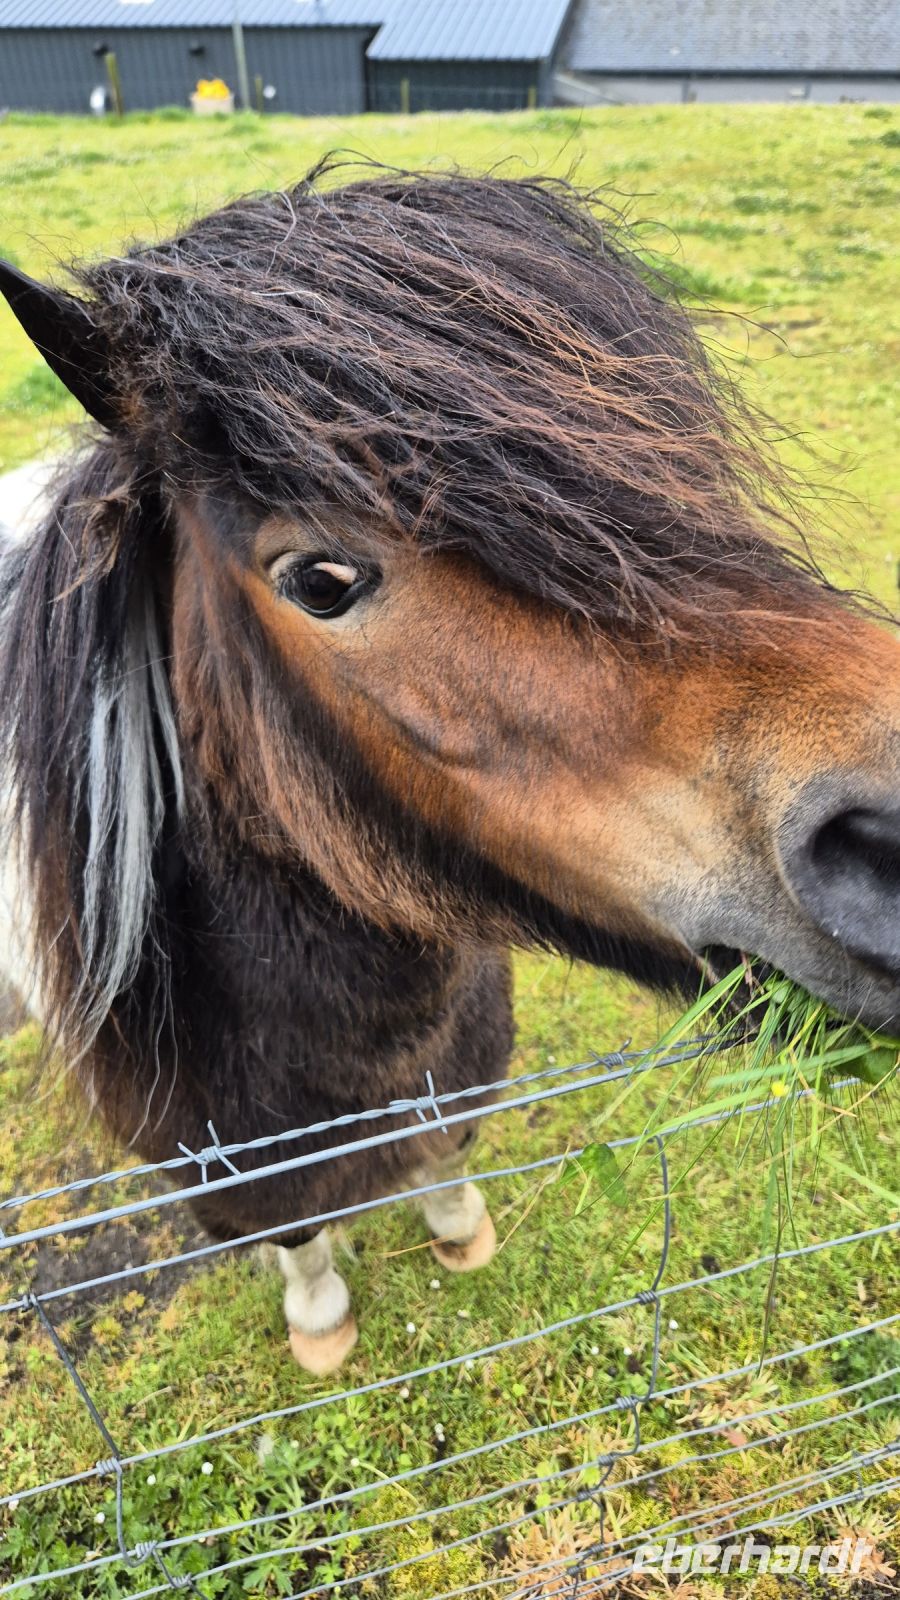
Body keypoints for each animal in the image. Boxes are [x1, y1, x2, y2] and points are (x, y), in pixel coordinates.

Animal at [1, 160, 899, 1374]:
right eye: (320, 579)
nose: (888, 838)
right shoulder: (231, 1168)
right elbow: (301, 1240)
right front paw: (322, 1327)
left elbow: (444, 1152)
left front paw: (458, 1228)